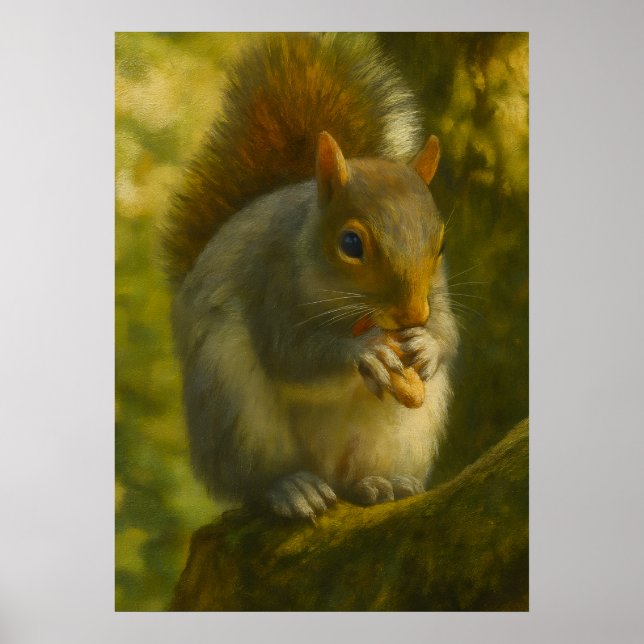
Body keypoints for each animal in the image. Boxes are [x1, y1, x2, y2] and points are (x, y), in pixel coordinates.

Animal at [163, 33, 459, 520]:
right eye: (352, 244)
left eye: (441, 244)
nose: (412, 315)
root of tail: (328, 473)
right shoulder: (271, 279)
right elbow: (291, 353)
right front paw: (363, 352)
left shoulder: (439, 292)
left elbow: (449, 328)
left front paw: (426, 344)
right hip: (236, 412)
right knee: (253, 482)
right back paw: (291, 488)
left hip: (404, 433)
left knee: (361, 475)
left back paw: (382, 483)